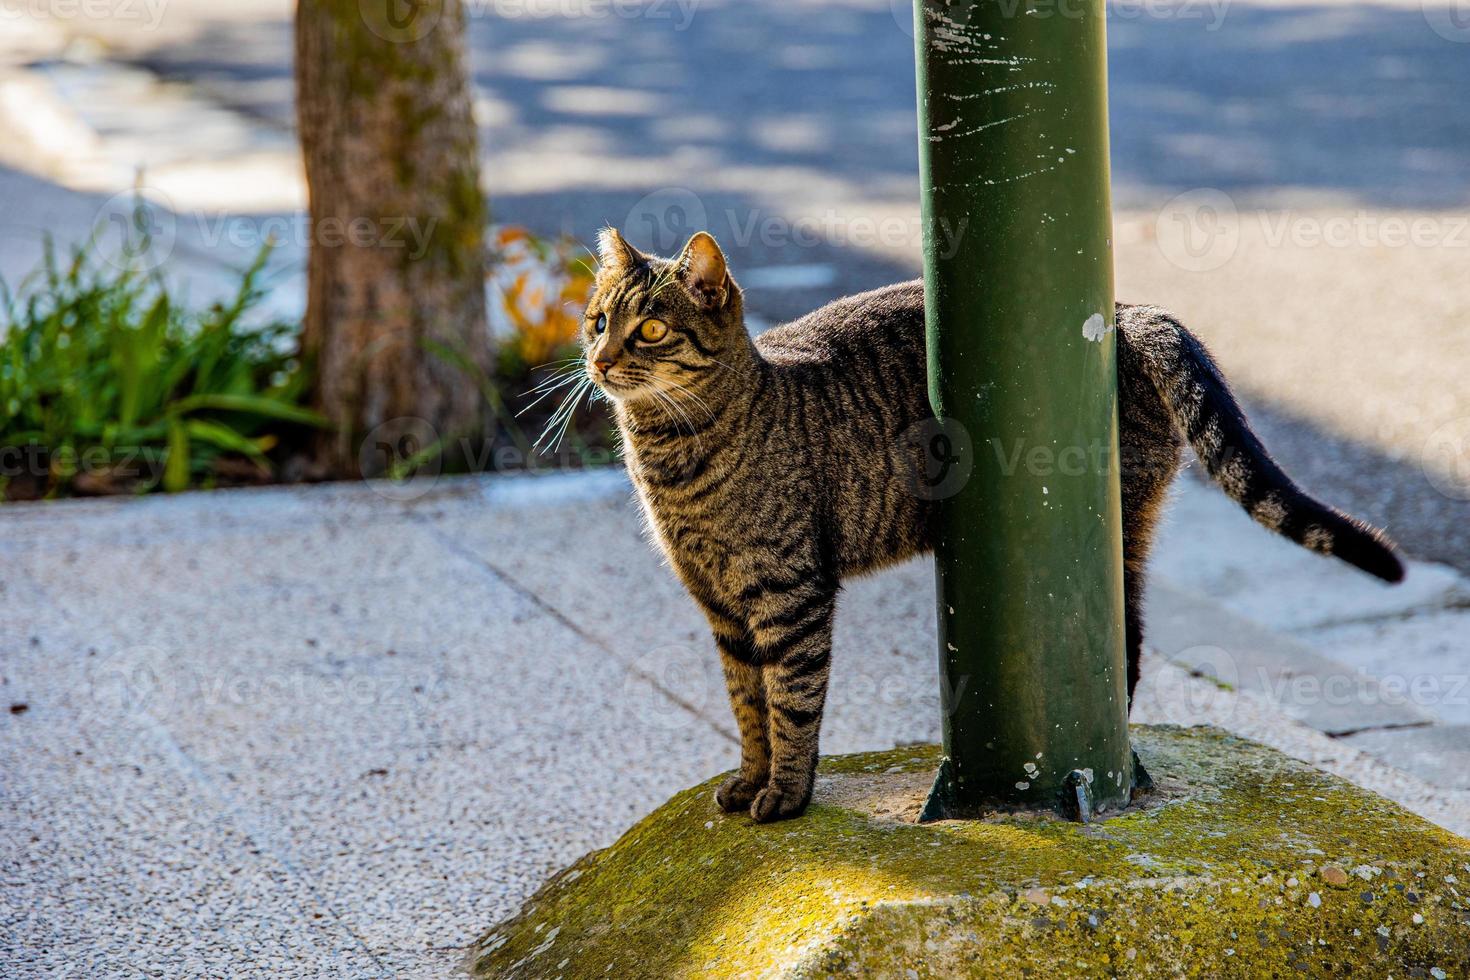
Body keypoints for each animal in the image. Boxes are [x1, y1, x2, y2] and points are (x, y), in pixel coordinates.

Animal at [579, 227, 1405, 822]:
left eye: (649, 331)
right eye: (596, 321)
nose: (597, 359)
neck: (672, 453)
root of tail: (1127, 311)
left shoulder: (789, 594)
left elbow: (791, 701)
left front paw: (784, 795)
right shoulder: (720, 605)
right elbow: (746, 703)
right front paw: (750, 781)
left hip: (1113, 526)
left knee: (1124, 646)